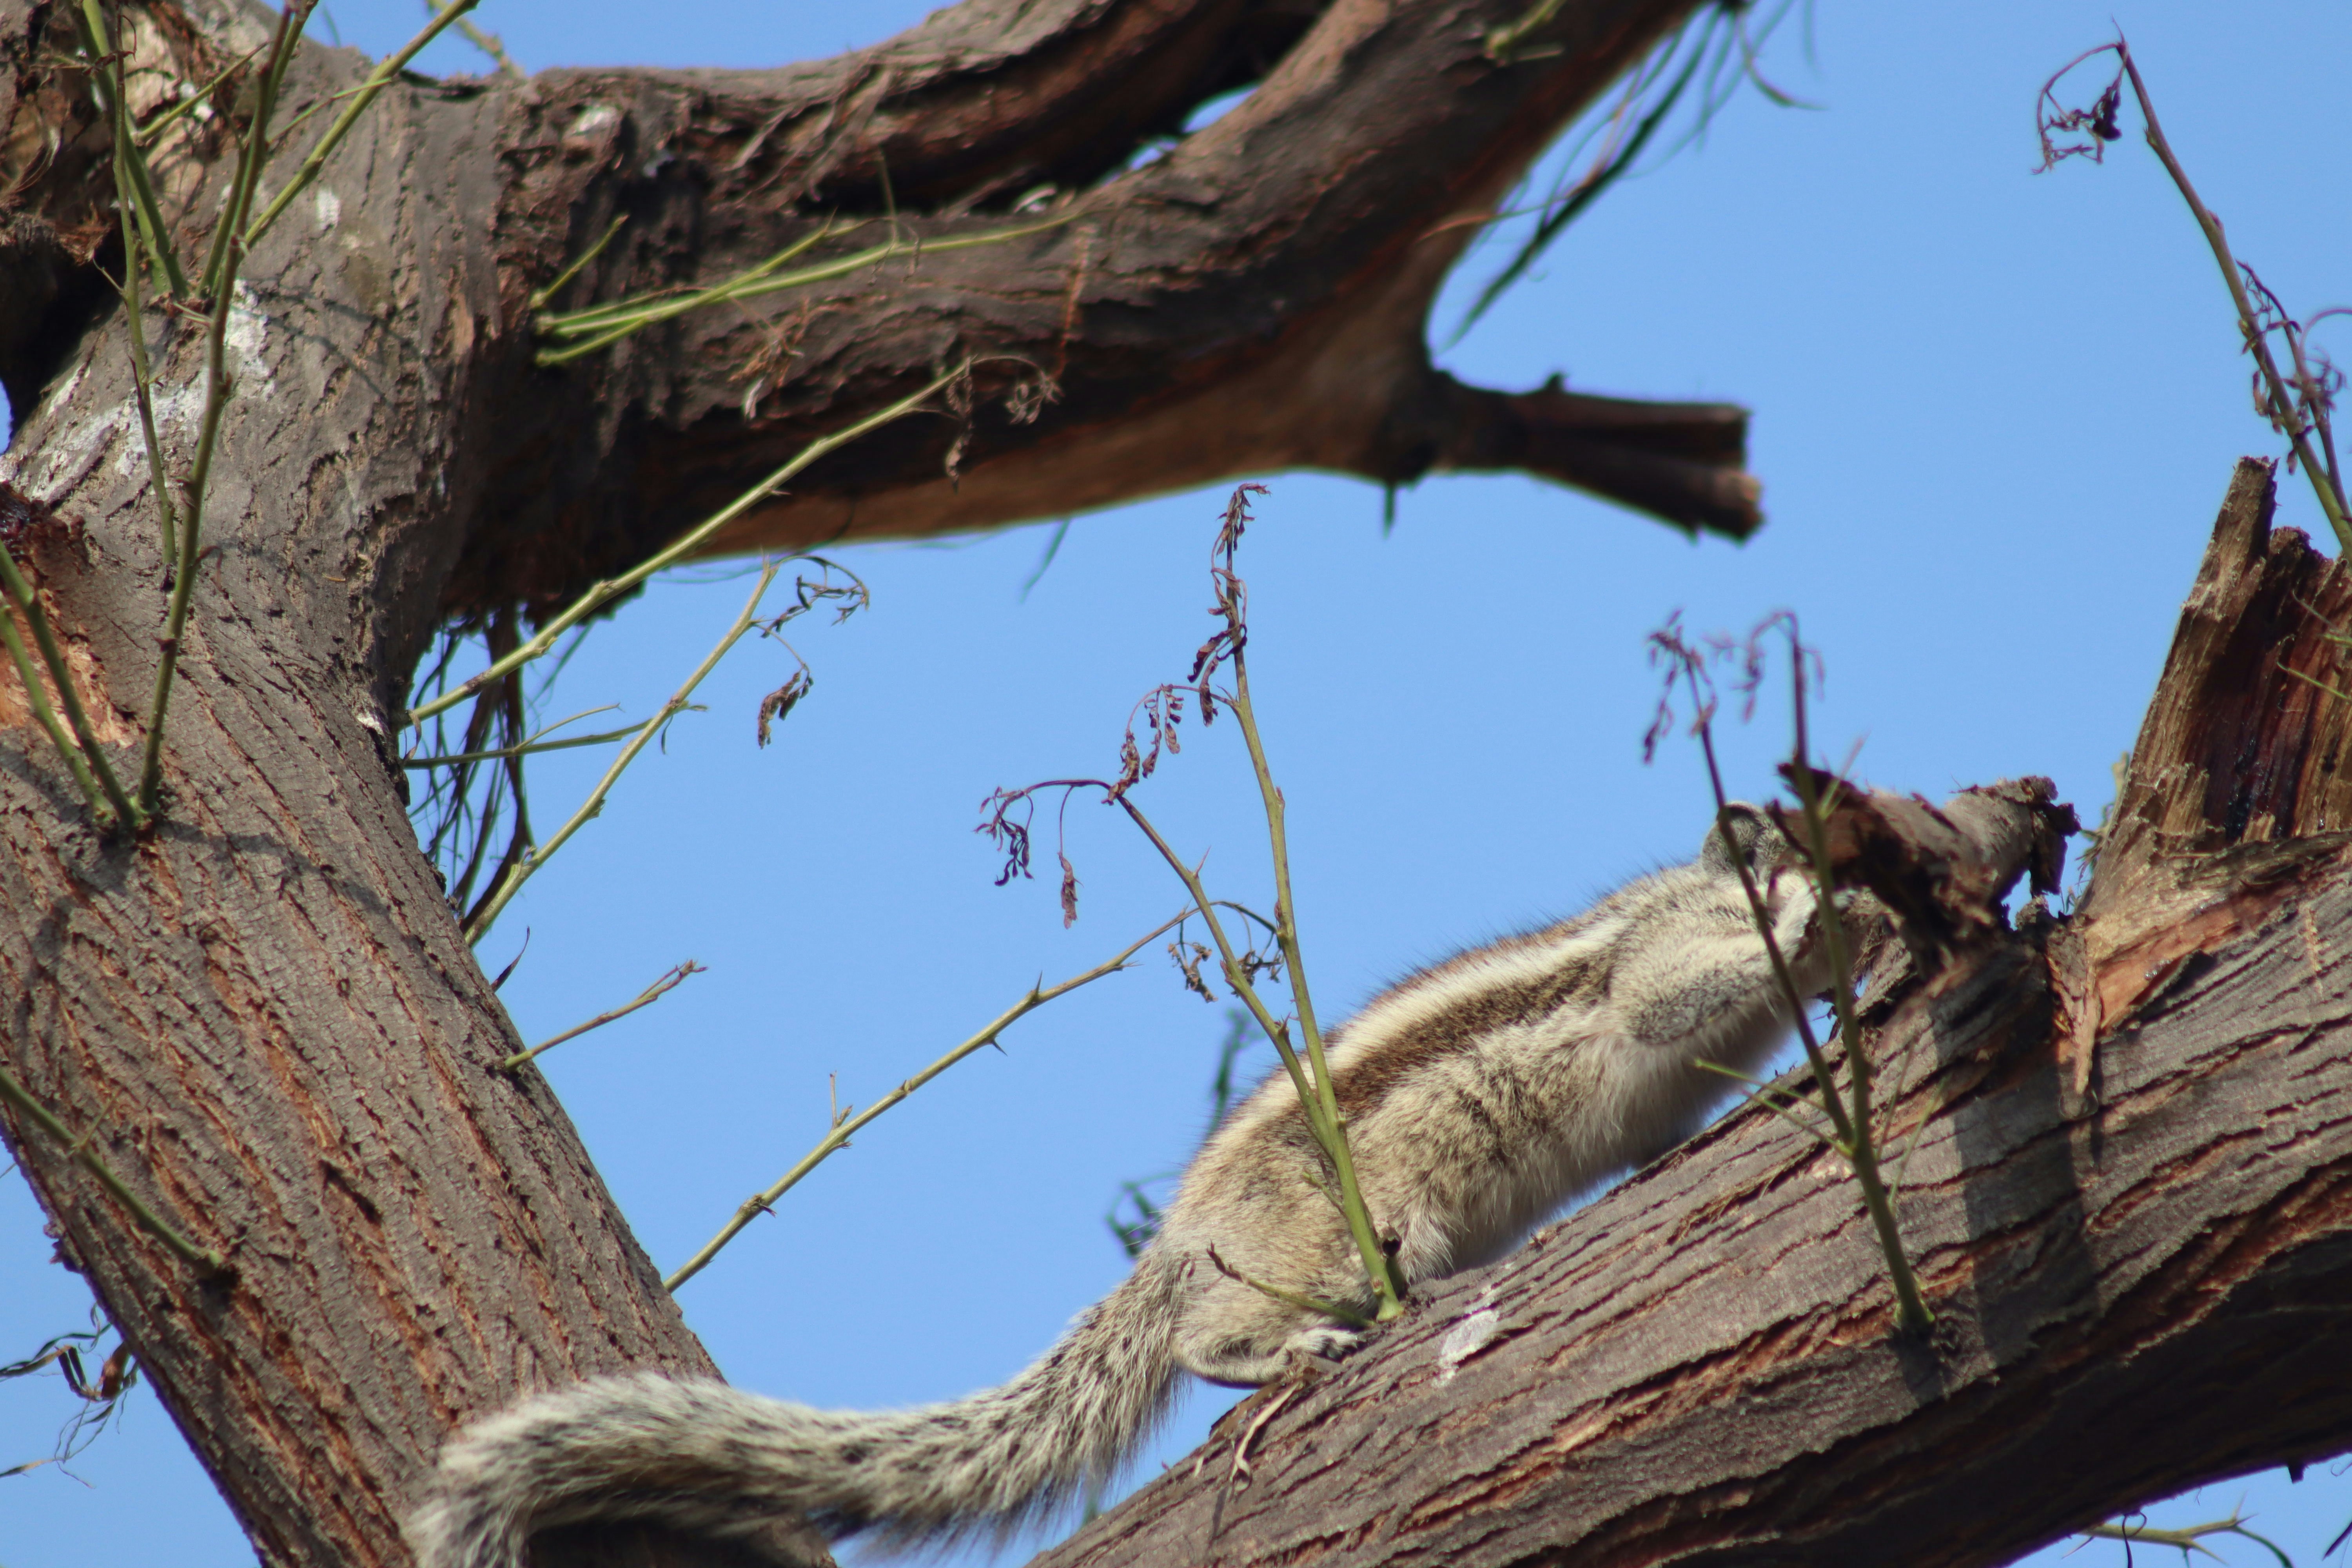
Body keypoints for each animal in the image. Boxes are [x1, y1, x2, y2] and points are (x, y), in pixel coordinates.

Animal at [412, 805, 1841, 1568]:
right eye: (1794, 837)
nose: (1849, 867)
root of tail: (1176, 1247)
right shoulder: (1656, 957)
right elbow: (1672, 995)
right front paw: (1816, 922)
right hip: (1318, 1240)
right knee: (1215, 1337)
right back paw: (1287, 1352)